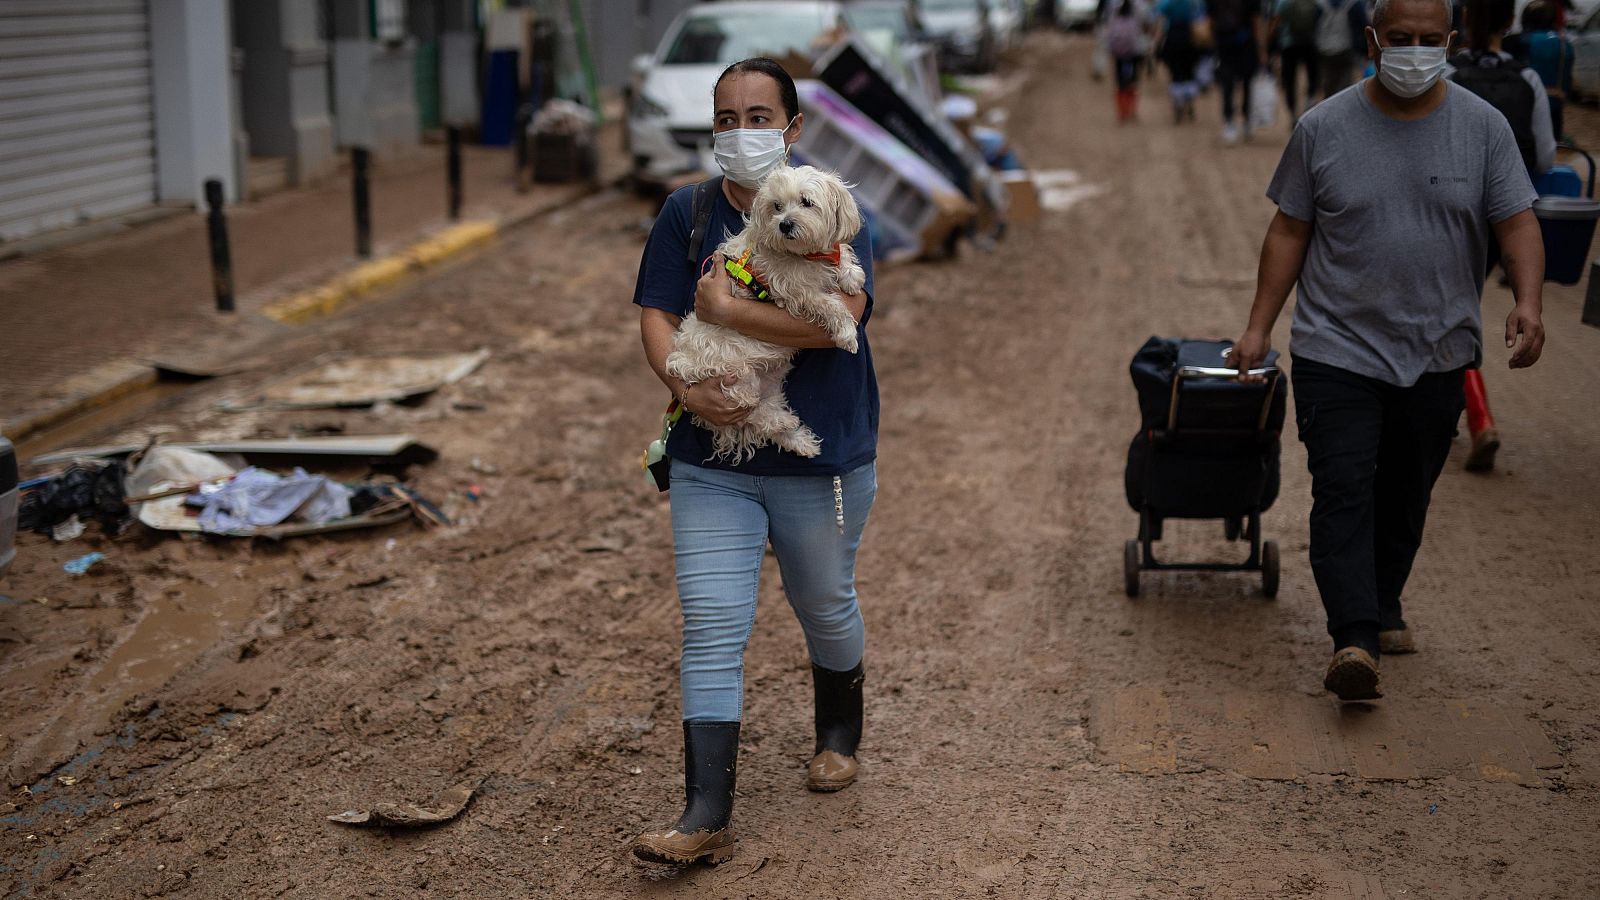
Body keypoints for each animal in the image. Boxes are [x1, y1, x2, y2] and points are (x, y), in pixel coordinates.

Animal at [662, 164, 864, 458]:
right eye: (777, 206)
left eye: (806, 202)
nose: (784, 224)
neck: (804, 255)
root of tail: (682, 362)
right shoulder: (796, 292)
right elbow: (831, 304)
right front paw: (847, 334)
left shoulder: (823, 257)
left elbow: (840, 251)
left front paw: (851, 275)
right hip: (735, 372)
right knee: (748, 408)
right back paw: (783, 423)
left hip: (770, 381)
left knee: (764, 415)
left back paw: (799, 439)